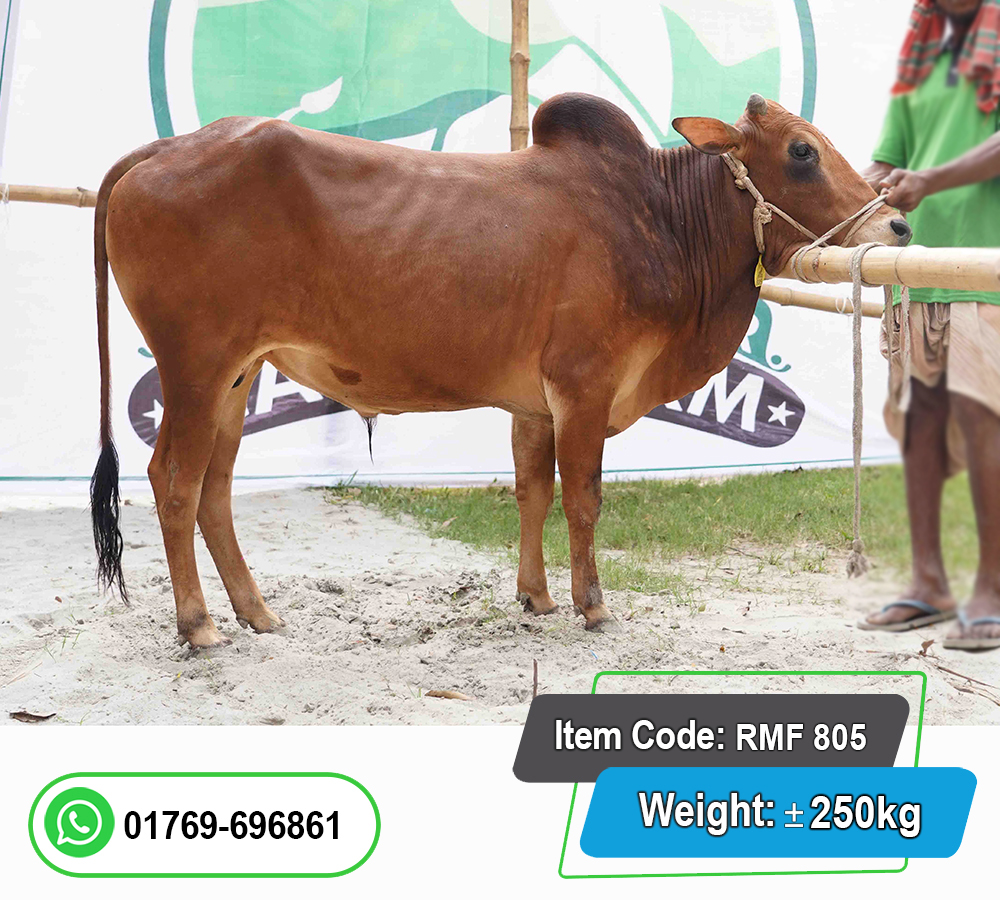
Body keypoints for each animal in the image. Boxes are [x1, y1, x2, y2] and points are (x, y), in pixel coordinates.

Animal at [90, 92, 910, 648]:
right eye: (801, 151)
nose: (898, 225)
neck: (659, 217)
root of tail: (165, 149)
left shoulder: (534, 405)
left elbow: (531, 493)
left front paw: (536, 598)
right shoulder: (584, 387)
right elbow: (583, 499)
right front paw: (592, 605)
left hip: (236, 377)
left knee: (214, 492)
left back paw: (258, 613)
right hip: (196, 371)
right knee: (173, 482)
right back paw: (199, 626)